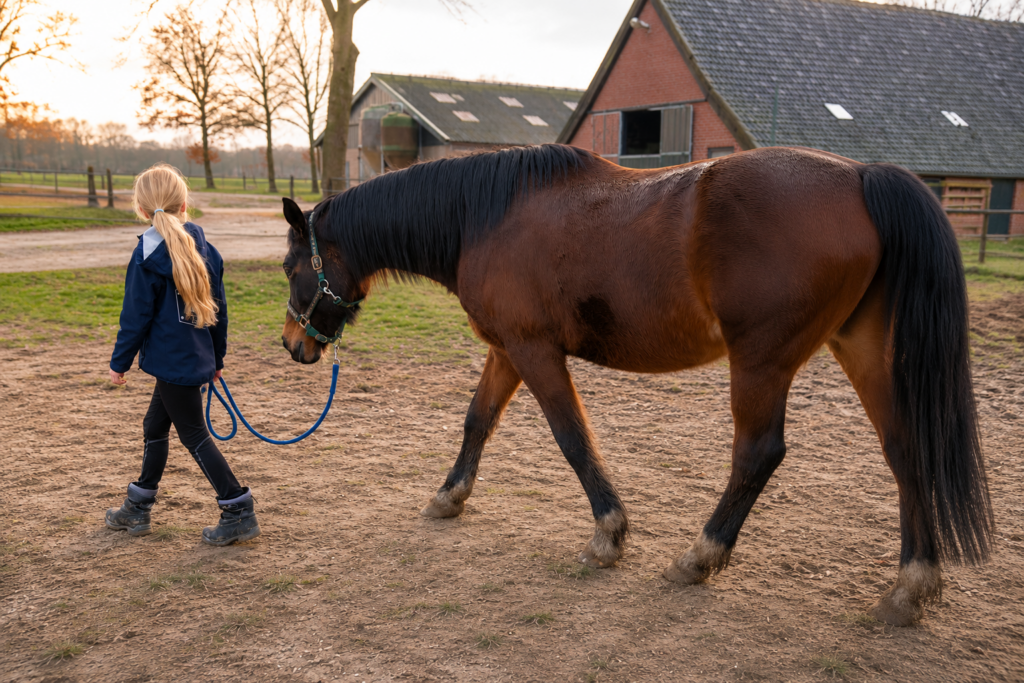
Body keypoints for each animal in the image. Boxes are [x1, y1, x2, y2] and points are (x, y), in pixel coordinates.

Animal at [278, 144, 992, 626]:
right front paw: (449, 496)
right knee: (906, 451)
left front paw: (609, 535)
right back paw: (910, 586)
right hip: (863, 351)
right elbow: (478, 421)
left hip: (761, 362)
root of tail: (860, 175)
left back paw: (700, 557)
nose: (293, 345)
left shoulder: (535, 352)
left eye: (290, 266)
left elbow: (572, 438)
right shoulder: (507, 351)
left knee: (758, 453)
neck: (486, 216)